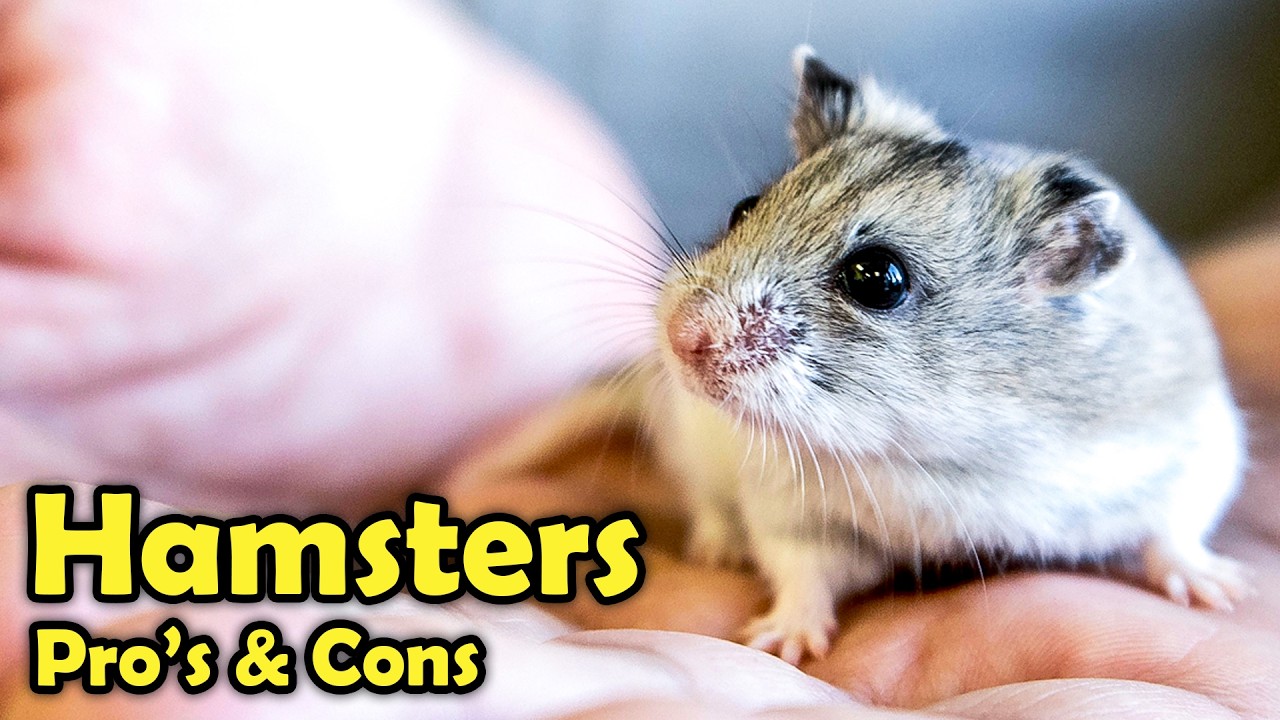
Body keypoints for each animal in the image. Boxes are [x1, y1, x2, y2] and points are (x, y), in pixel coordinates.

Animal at [465, 46, 1252, 665]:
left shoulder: (1187, 449)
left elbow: (1176, 529)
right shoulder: (790, 506)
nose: (681, 340)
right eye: (744, 210)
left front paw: (1218, 590)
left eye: (878, 278)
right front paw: (780, 639)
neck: (929, 447)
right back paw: (719, 548)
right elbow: (802, 569)